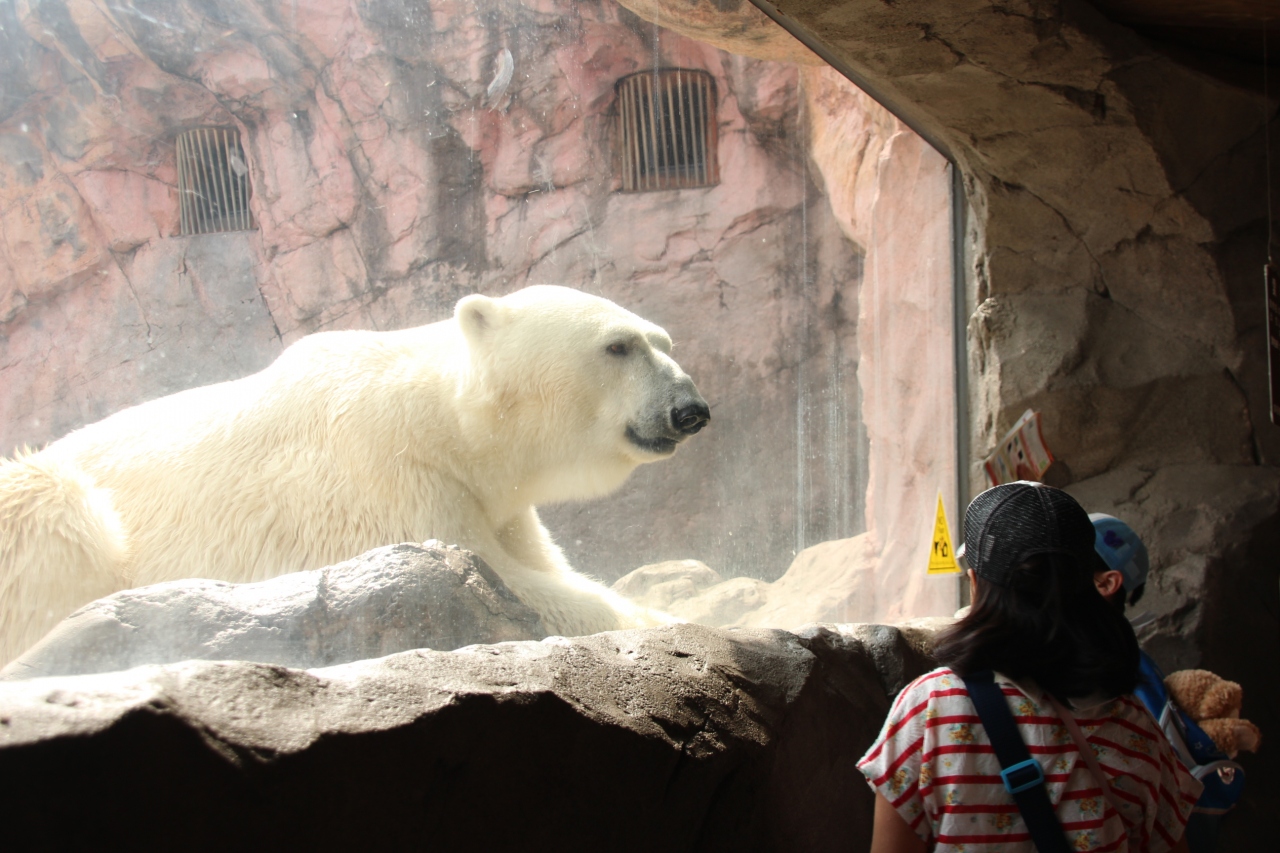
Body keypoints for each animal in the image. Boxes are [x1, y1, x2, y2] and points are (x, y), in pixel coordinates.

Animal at [0, 285, 711, 666]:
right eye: (618, 346)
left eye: (664, 342)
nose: (691, 409)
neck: (442, 423)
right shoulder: (386, 477)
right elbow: (500, 583)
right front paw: (670, 624)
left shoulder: (495, 501)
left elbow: (539, 566)